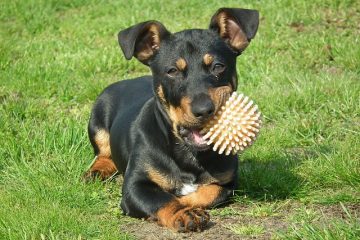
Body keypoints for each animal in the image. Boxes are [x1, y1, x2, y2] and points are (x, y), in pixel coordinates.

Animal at [84, 7, 258, 232]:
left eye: (218, 66)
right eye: (172, 71)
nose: (204, 110)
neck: (190, 154)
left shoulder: (227, 183)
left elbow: (205, 193)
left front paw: (185, 202)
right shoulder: (135, 185)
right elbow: (162, 199)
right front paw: (183, 214)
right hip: (97, 118)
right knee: (103, 154)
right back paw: (96, 171)